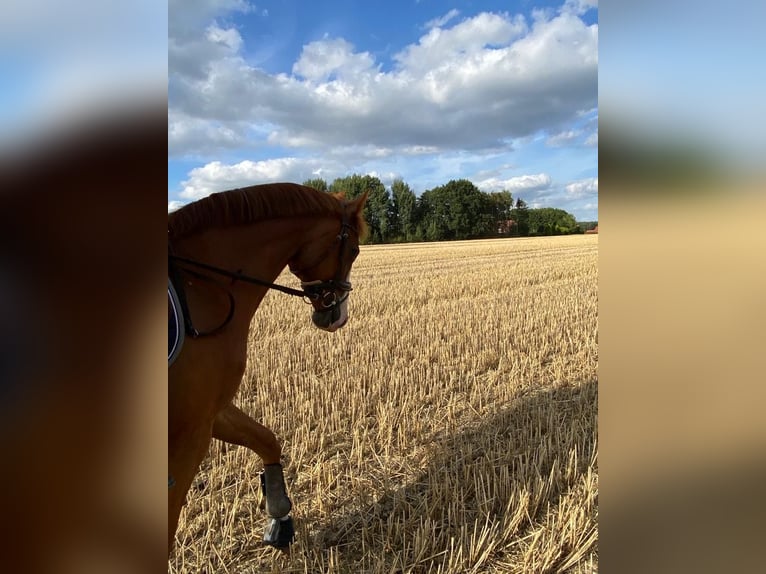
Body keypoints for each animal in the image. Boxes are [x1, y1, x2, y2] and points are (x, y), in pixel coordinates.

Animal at [167, 182, 368, 556]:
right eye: (354, 250)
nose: (338, 317)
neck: (201, 288)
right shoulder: (190, 432)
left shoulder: (210, 410)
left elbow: (267, 439)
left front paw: (280, 520)